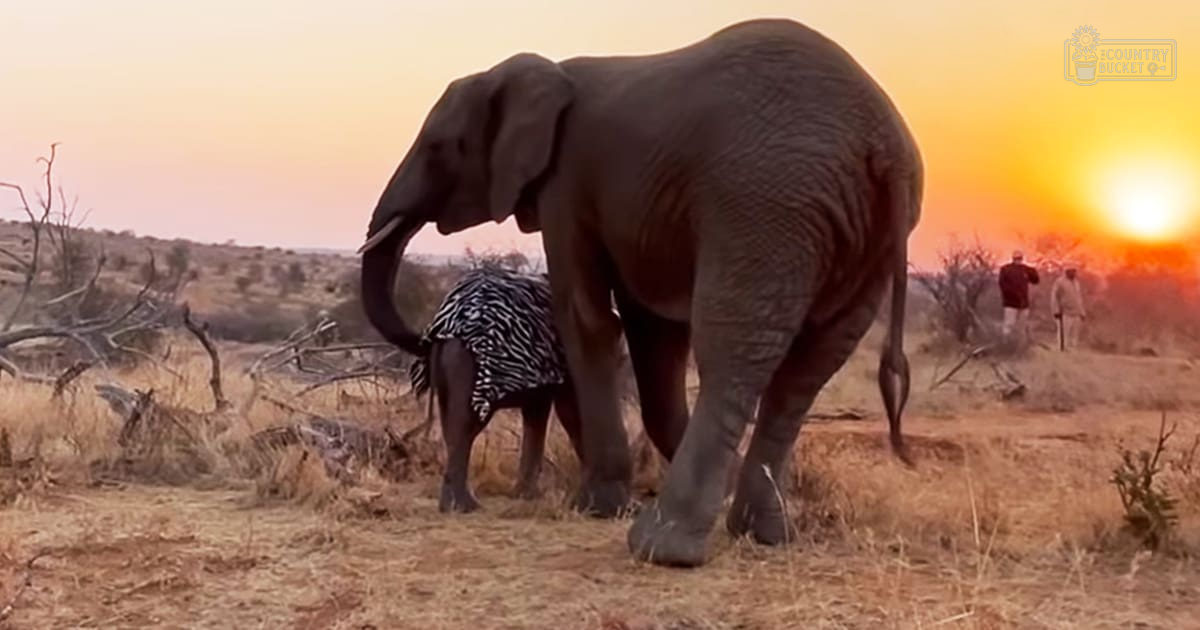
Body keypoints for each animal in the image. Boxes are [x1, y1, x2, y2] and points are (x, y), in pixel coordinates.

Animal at [358, 18, 922, 567]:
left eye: (437, 148)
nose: (427, 333)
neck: (539, 72)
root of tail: (884, 147)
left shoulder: (567, 181)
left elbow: (588, 318)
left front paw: (596, 507)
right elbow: (653, 335)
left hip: (766, 205)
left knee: (732, 353)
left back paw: (662, 548)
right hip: (857, 233)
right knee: (807, 371)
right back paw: (762, 533)